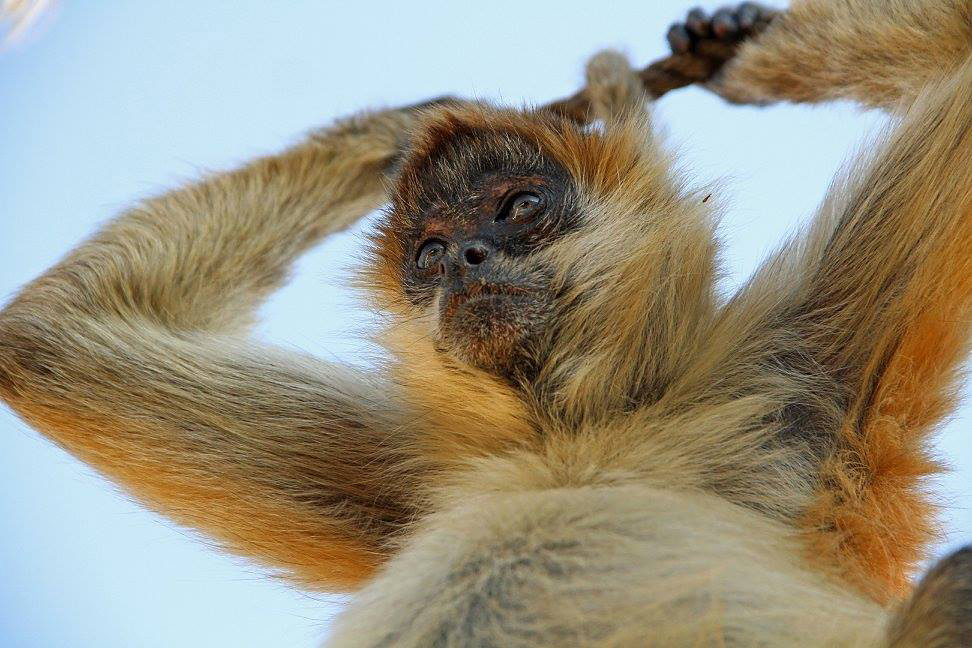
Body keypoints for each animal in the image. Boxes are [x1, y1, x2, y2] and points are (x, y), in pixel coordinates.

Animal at [1, 1, 972, 644]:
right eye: (430, 254)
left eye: (518, 209)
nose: (467, 259)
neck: (579, 419)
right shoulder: (410, 460)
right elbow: (44, 342)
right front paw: (398, 126)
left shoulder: (808, 366)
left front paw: (738, 57)